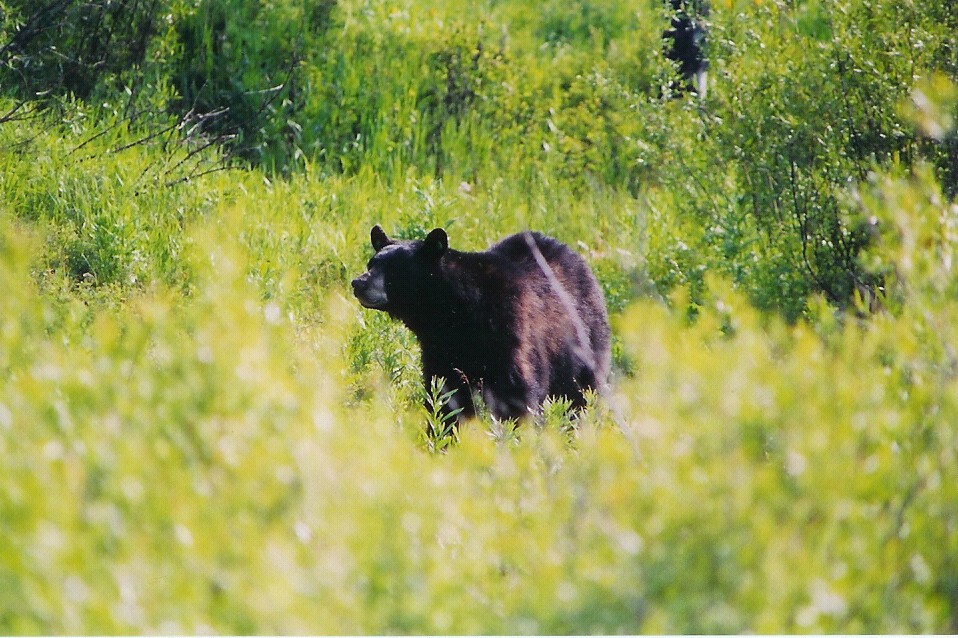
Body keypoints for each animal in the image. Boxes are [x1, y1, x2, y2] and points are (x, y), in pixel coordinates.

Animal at [352, 226, 616, 424]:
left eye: (394, 270)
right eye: (371, 264)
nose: (358, 283)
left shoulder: (509, 334)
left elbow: (518, 393)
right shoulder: (440, 350)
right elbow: (445, 395)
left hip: (584, 341)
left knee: (581, 393)